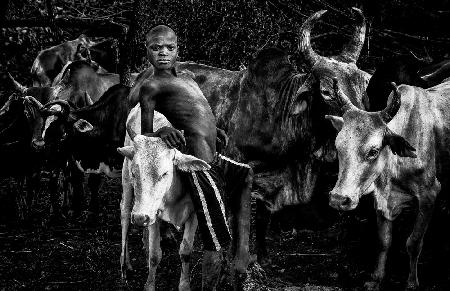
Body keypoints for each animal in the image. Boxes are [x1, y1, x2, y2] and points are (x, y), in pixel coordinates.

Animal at [129, 7, 372, 262]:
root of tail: (138, 76)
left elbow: (263, 217)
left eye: (363, 84)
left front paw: (263, 255)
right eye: (325, 91)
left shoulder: (271, 180)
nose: (362, 125)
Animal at [326, 78, 450, 290]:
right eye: (338, 146)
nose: (338, 199)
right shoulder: (381, 200)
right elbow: (384, 241)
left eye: (373, 151)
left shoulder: (429, 195)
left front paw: (411, 282)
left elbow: (413, 242)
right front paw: (377, 279)